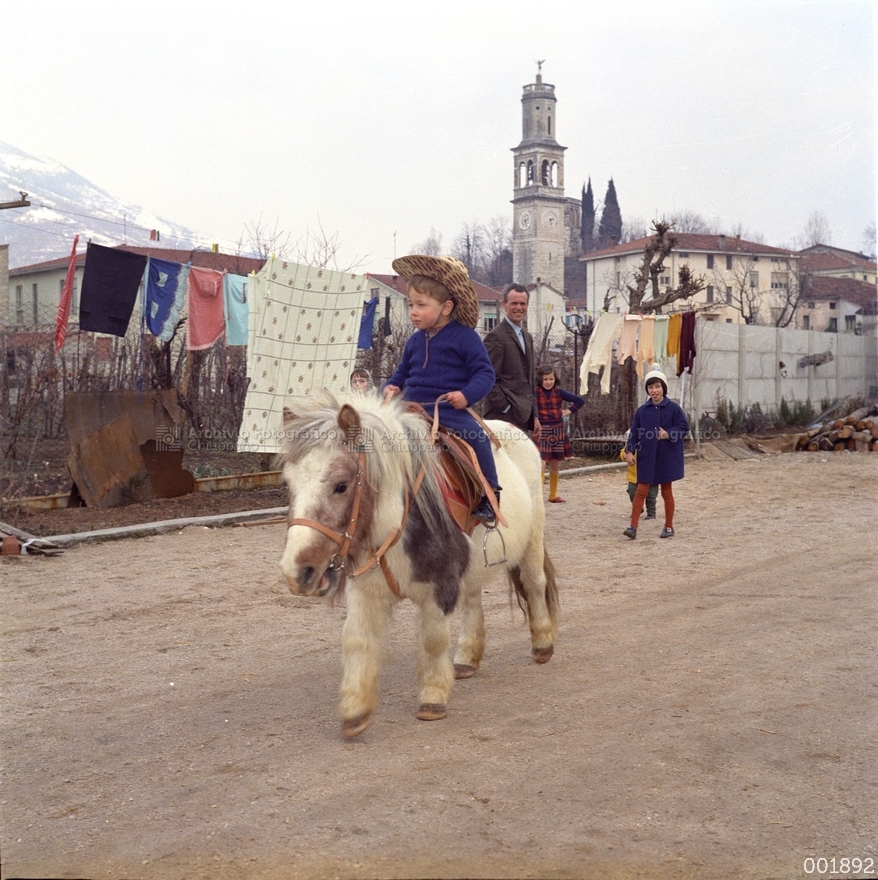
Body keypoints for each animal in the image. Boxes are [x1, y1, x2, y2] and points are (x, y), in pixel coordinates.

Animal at [278, 392, 560, 736]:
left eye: (341, 485)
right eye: (288, 484)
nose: (297, 572)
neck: (398, 520)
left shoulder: (438, 588)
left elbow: (433, 640)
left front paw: (433, 697)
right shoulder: (366, 592)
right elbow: (356, 640)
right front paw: (355, 710)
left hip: (532, 539)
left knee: (534, 583)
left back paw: (543, 644)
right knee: (472, 599)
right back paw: (467, 658)